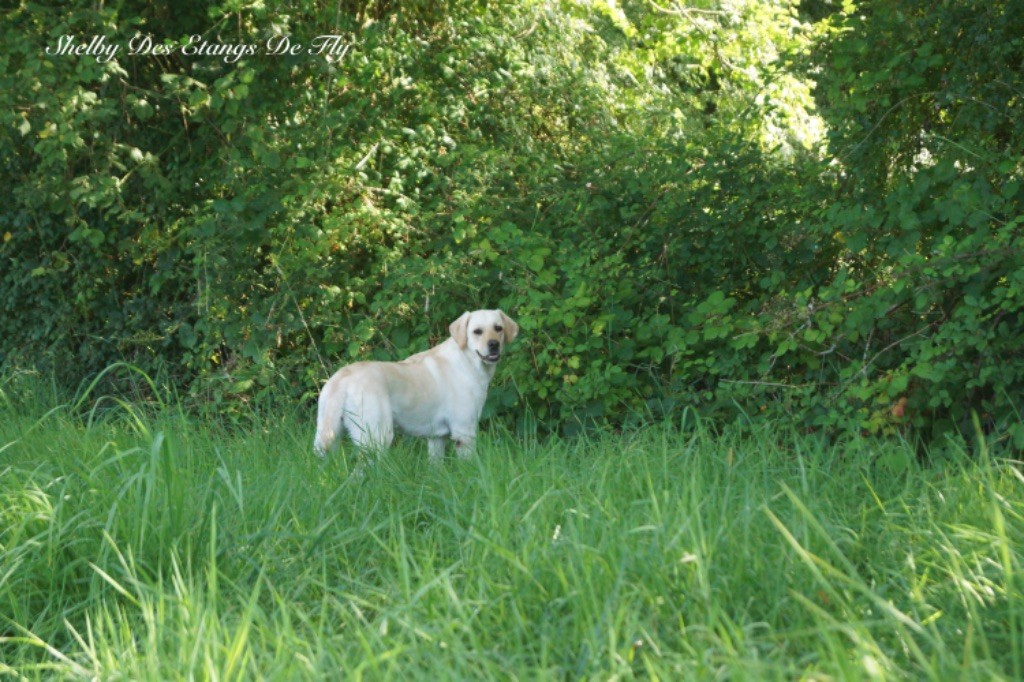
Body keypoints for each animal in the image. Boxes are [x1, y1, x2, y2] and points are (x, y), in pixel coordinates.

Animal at [311, 307, 520, 462]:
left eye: (498, 328)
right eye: (477, 331)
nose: (494, 344)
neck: (468, 360)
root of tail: (343, 377)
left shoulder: (436, 437)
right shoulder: (464, 432)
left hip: (329, 436)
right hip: (377, 438)